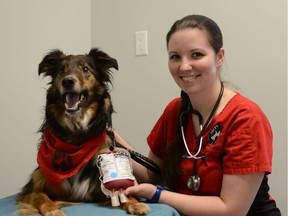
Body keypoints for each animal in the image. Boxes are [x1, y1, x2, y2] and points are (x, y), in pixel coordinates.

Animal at [16, 48, 150, 215]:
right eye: (61, 70)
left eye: (85, 69)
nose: (67, 81)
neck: (76, 135)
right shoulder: (31, 189)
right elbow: (41, 197)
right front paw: (52, 210)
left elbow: (124, 192)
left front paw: (135, 204)